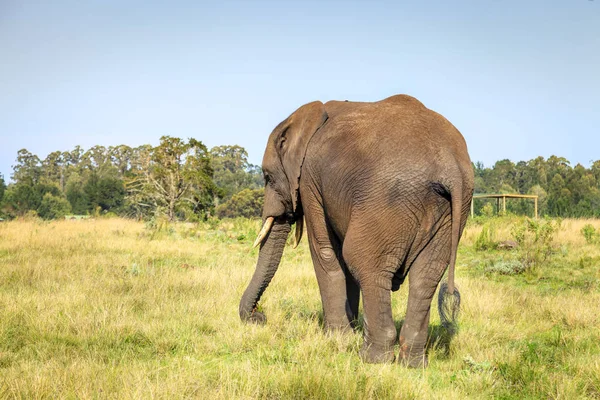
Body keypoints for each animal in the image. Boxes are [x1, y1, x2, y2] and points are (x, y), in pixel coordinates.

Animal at [239, 94, 474, 366]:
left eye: (267, 177)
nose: (259, 316)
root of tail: (451, 168)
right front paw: (348, 333)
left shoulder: (309, 179)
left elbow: (326, 252)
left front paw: (338, 339)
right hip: (451, 212)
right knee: (425, 275)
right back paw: (413, 363)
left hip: (387, 200)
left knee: (365, 262)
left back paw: (372, 359)